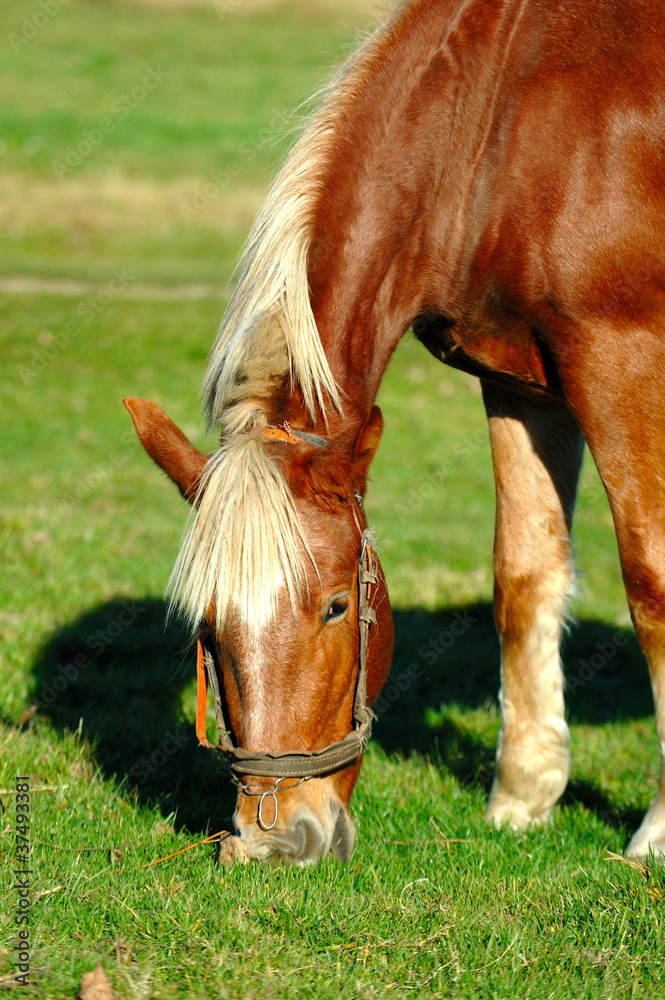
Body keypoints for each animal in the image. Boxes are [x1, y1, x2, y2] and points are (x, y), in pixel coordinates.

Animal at [124, 0, 664, 864]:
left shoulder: (620, 365)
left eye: (336, 606)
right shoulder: (517, 380)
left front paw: (653, 829)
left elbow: (648, 581)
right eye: (208, 625)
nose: (277, 839)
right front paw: (521, 798)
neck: (507, 113)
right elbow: (525, 575)